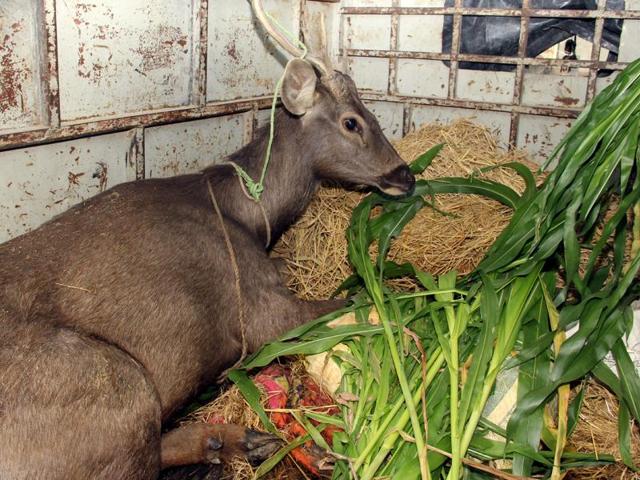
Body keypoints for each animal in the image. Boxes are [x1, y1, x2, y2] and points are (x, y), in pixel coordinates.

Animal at [0, 2, 415, 479]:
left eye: (373, 113)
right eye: (352, 122)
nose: (406, 175)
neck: (248, 218)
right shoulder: (258, 308)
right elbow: (353, 302)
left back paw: (239, 440)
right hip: (117, 383)